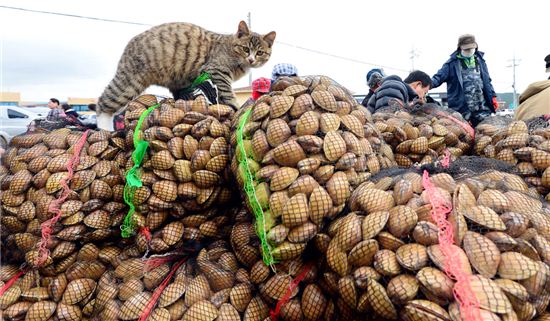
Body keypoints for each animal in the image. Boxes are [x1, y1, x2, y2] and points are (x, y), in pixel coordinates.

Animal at [96, 21, 276, 129]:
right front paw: (236, 107)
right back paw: (104, 128)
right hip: (130, 81)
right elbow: (228, 94)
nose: (251, 59)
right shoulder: (218, 71)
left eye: (260, 53)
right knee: (103, 103)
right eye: (245, 49)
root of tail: (129, 44)